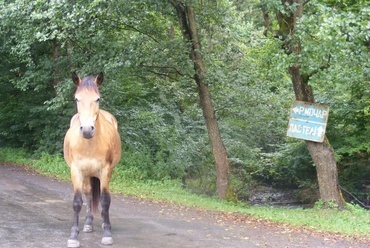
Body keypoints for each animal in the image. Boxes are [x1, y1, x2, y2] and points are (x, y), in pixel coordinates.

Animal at [63, 72, 121, 248]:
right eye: (77, 99)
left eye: (97, 99)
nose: (87, 130)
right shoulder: (76, 171)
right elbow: (77, 202)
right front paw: (73, 237)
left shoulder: (105, 171)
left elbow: (105, 200)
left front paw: (107, 234)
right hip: (87, 174)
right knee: (88, 195)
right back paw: (88, 223)